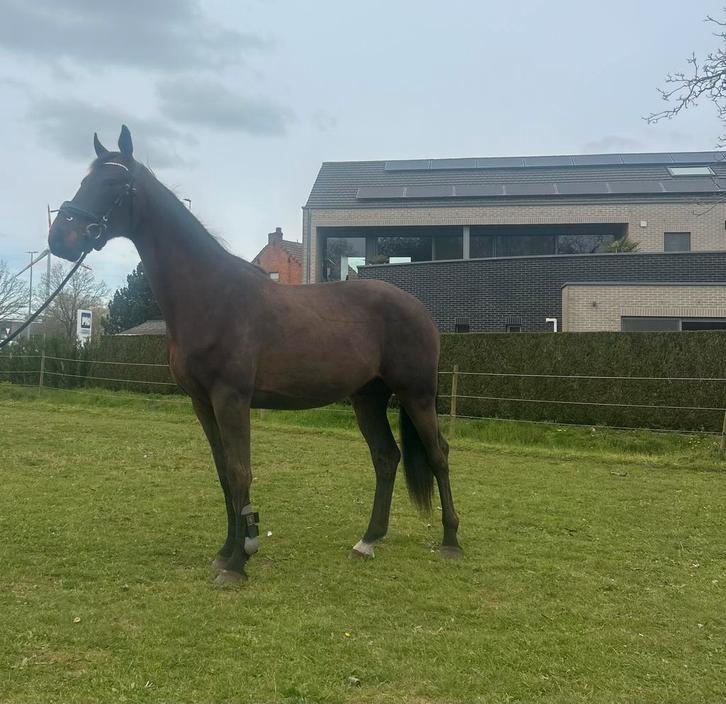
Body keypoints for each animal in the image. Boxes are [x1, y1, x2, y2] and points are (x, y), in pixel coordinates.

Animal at [48, 126, 461, 585]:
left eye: (113, 183)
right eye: (85, 179)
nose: (59, 238)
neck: (211, 295)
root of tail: (420, 309)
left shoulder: (231, 398)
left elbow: (239, 471)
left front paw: (239, 561)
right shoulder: (203, 403)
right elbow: (224, 474)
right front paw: (227, 551)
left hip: (416, 394)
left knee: (439, 454)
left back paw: (450, 541)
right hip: (368, 398)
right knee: (387, 458)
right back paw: (368, 540)